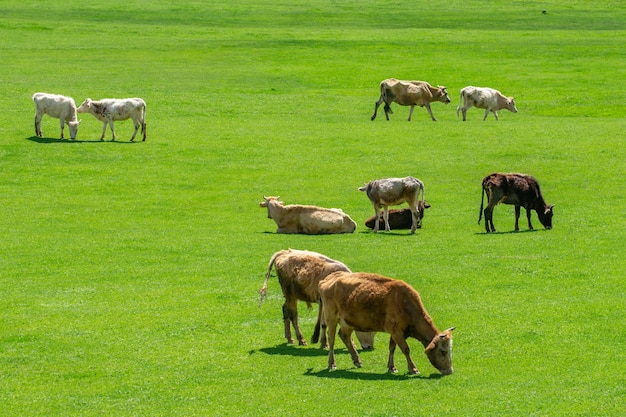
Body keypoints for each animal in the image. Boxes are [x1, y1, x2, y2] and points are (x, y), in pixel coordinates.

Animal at [322, 272, 454, 376]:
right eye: (443, 351)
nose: (450, 371)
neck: (406, 304)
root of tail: (329, 279)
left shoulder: (396, 332)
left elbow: (392, 347)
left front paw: (392, 367)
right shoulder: (397, 331)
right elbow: (405, 349)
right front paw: (413, 369)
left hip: (348, 322)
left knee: (344, 336)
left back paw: (357, 360)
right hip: (331, 318)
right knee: (332, 340)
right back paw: (332, 363)